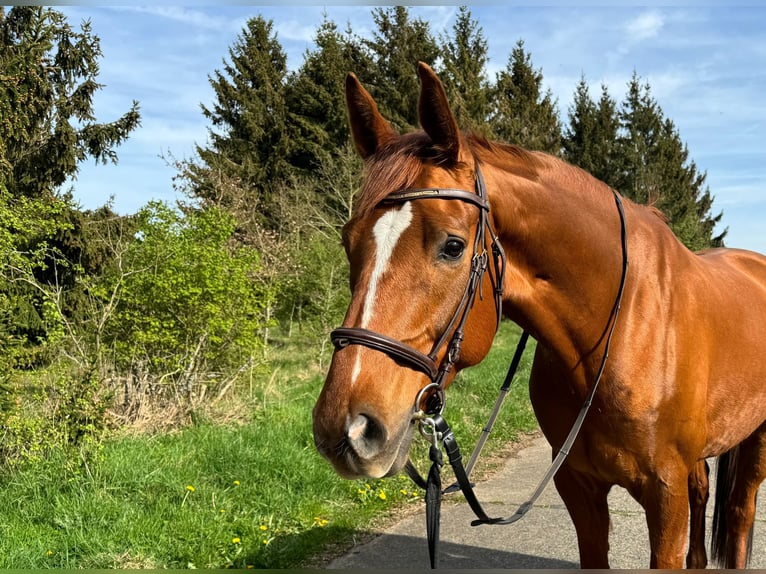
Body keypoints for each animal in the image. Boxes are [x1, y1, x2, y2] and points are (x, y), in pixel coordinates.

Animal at [314, 63, 766, 572]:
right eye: (348, 241)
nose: (346, 429)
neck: (618, 329)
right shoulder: (579, 487)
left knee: (741, 509)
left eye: (452, 246)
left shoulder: (663, 495)